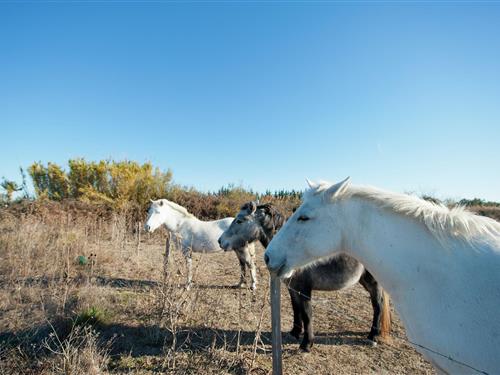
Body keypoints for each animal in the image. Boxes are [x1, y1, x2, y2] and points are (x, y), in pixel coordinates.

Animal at [219, 203, 390, 352]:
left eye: (240, 220)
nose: (221, 241)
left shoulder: (304, 290)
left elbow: (307, 314)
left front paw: (306, 344)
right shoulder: (293, 288)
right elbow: (297, 309)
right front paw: (294, 333)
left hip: (373, 282)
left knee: (378, 305)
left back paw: (372, 336)